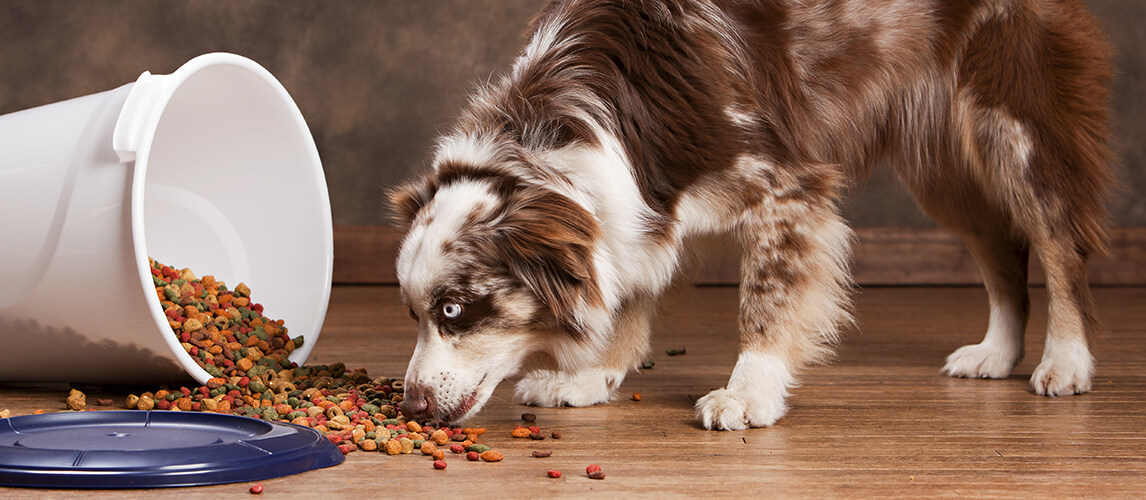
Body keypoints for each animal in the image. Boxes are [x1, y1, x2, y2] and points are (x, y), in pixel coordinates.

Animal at [385, 0, 1109, 428]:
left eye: (454, 310)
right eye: (414, 313)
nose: (413, 407)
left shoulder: (787, 188)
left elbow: (764, 303)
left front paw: (748, 394)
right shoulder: (637, 211)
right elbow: (627, 291)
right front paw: (589, 379)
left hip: (1012, 124)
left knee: (1058, 242)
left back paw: (1067, 361)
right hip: (941, 166)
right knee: (1003, 249)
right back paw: (997, 353)